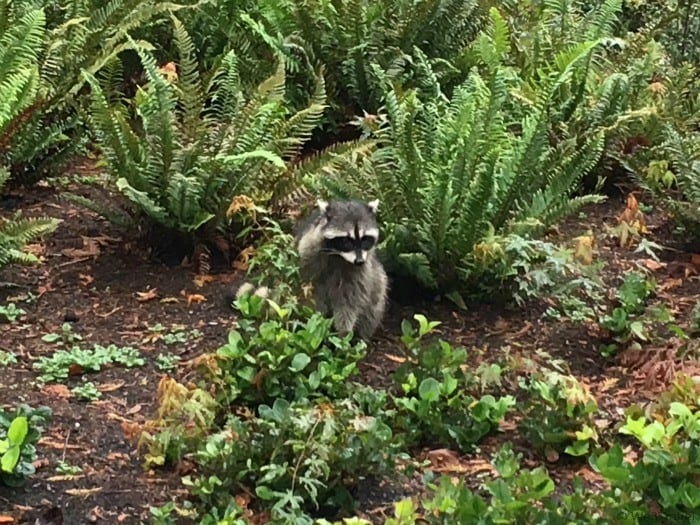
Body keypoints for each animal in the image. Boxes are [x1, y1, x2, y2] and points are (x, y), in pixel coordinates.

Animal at [292, 198, 386, 340]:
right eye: (346, 241)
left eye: (365, 239)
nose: (359, 261)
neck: (338, 255)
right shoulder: (309, 253)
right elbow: (310, 290)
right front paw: (314, 321)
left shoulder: (361, 269)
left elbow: (349, 299)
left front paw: (343, 332)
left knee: (377, 294)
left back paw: (362, 335)